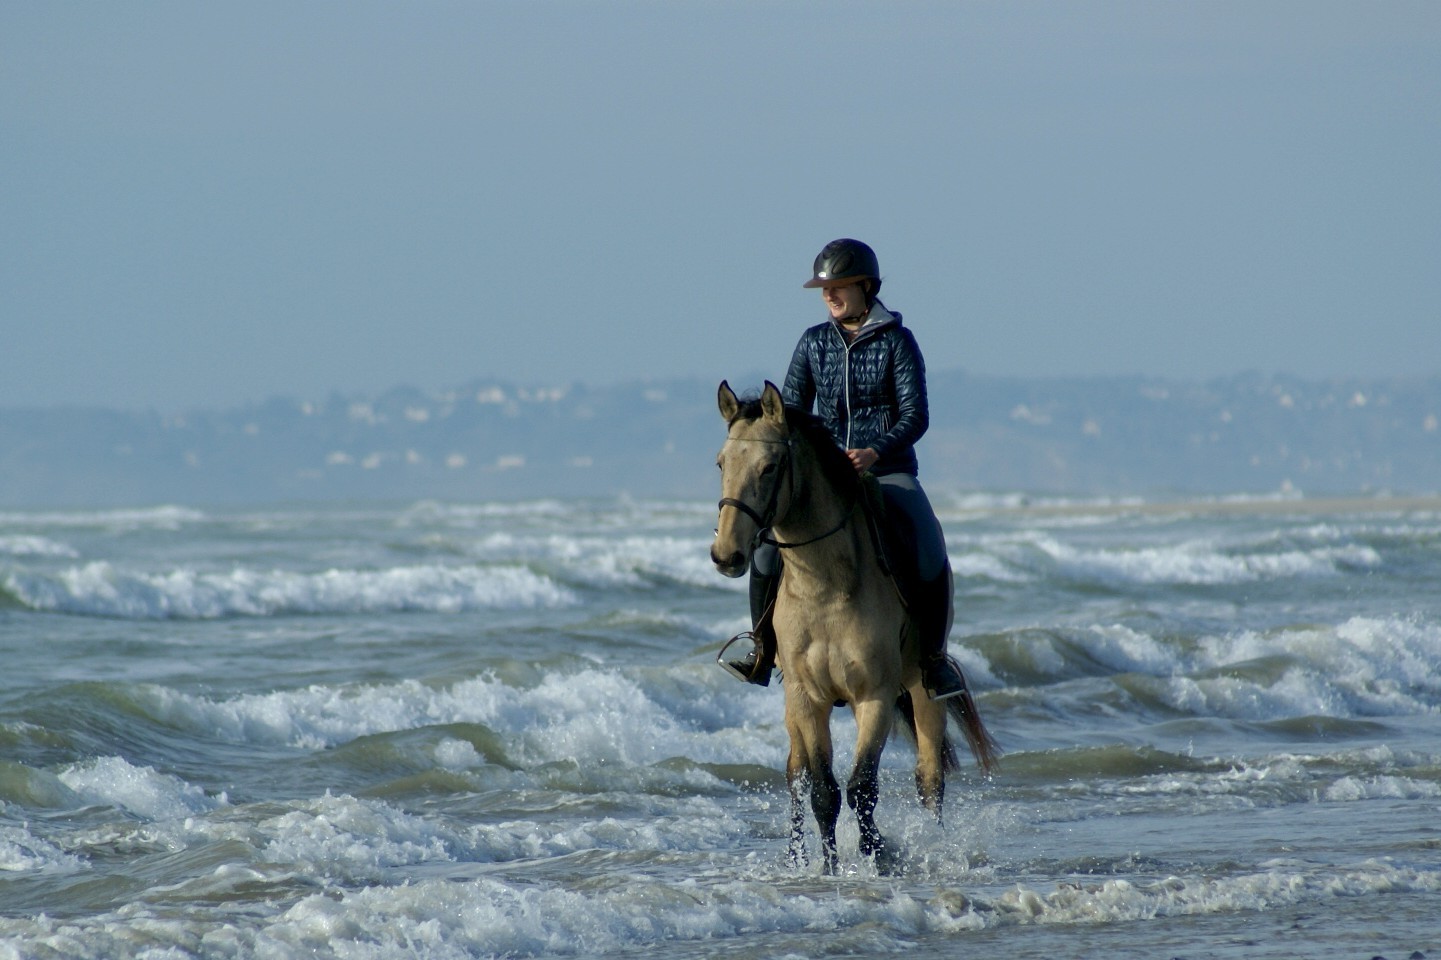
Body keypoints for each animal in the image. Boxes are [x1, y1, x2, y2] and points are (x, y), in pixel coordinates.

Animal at [711, 377, 1002, 870]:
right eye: (721, 464)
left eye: (770, 468)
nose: (726, 555)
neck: (824, 589)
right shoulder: (807, 698)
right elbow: (822, 791)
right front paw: (829, 867)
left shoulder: (875, 695)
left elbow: (862, 786)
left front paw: (876, 856)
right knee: (796, 776)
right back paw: (795, 859)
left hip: (924, 691)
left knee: (930, 777)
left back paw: (934, 843)